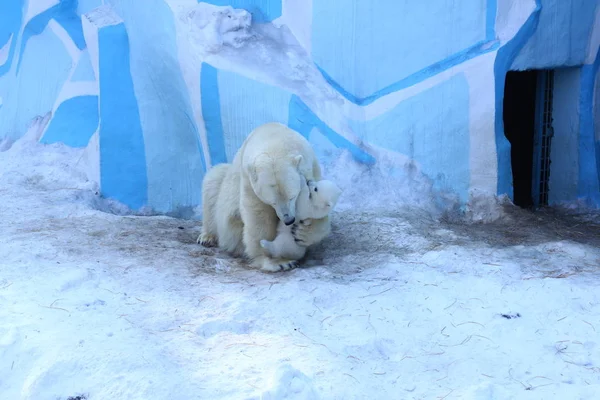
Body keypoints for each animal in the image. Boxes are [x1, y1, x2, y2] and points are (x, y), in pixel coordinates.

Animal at [213, 122, 330, 272]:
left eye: (292, 197)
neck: (274, 136)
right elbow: (258, 217)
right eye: (272, 202)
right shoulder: (249, 181)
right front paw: (276, 261)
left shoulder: (311, 166)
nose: (289, 220)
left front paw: (303, 234)